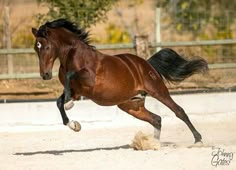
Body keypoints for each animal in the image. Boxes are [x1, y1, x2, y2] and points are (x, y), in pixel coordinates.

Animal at [31, 18, 208, 143]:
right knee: (156, 119)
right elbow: (59, 102)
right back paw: (153, 143)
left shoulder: (89, 81)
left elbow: (70, 78)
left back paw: (198, 139)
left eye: (46, 47)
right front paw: (74, 125)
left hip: (158, 91)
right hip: (131, 105)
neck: (75, 57)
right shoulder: (75, 91)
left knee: (179, 111)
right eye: (35, 48)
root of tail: (146, 64)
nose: (45, 74)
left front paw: (70, 105)